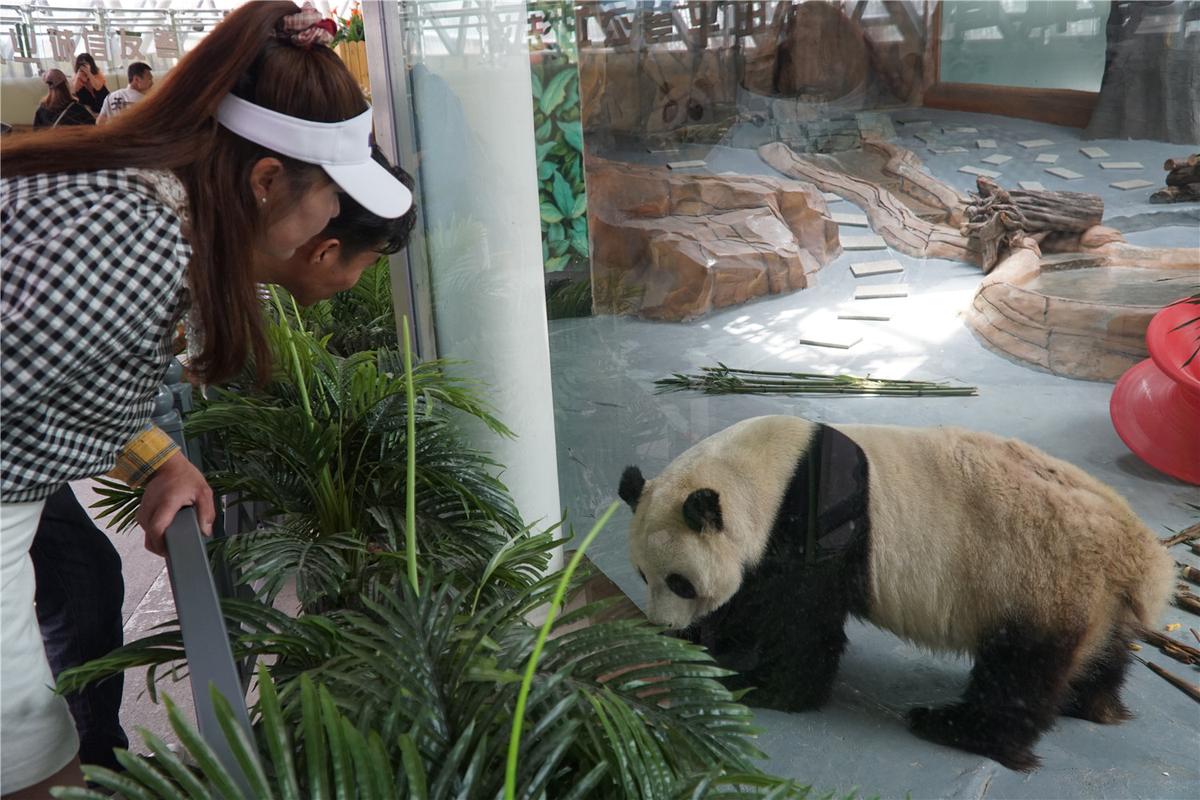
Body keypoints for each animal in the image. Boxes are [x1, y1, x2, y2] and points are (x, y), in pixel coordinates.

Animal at [619, 417, 1171, 772]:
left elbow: (801, 624)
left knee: (1019, 673)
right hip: (1095, 599)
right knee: (1103, 653)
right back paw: (1094, 703)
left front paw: (760, 684)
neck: (765, 472)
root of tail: (1141, 557)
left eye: (680, 582)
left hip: (1039, 580)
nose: (666, 625)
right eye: (643, 575)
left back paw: (953, 726)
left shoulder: (816, 526)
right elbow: (755, 601)